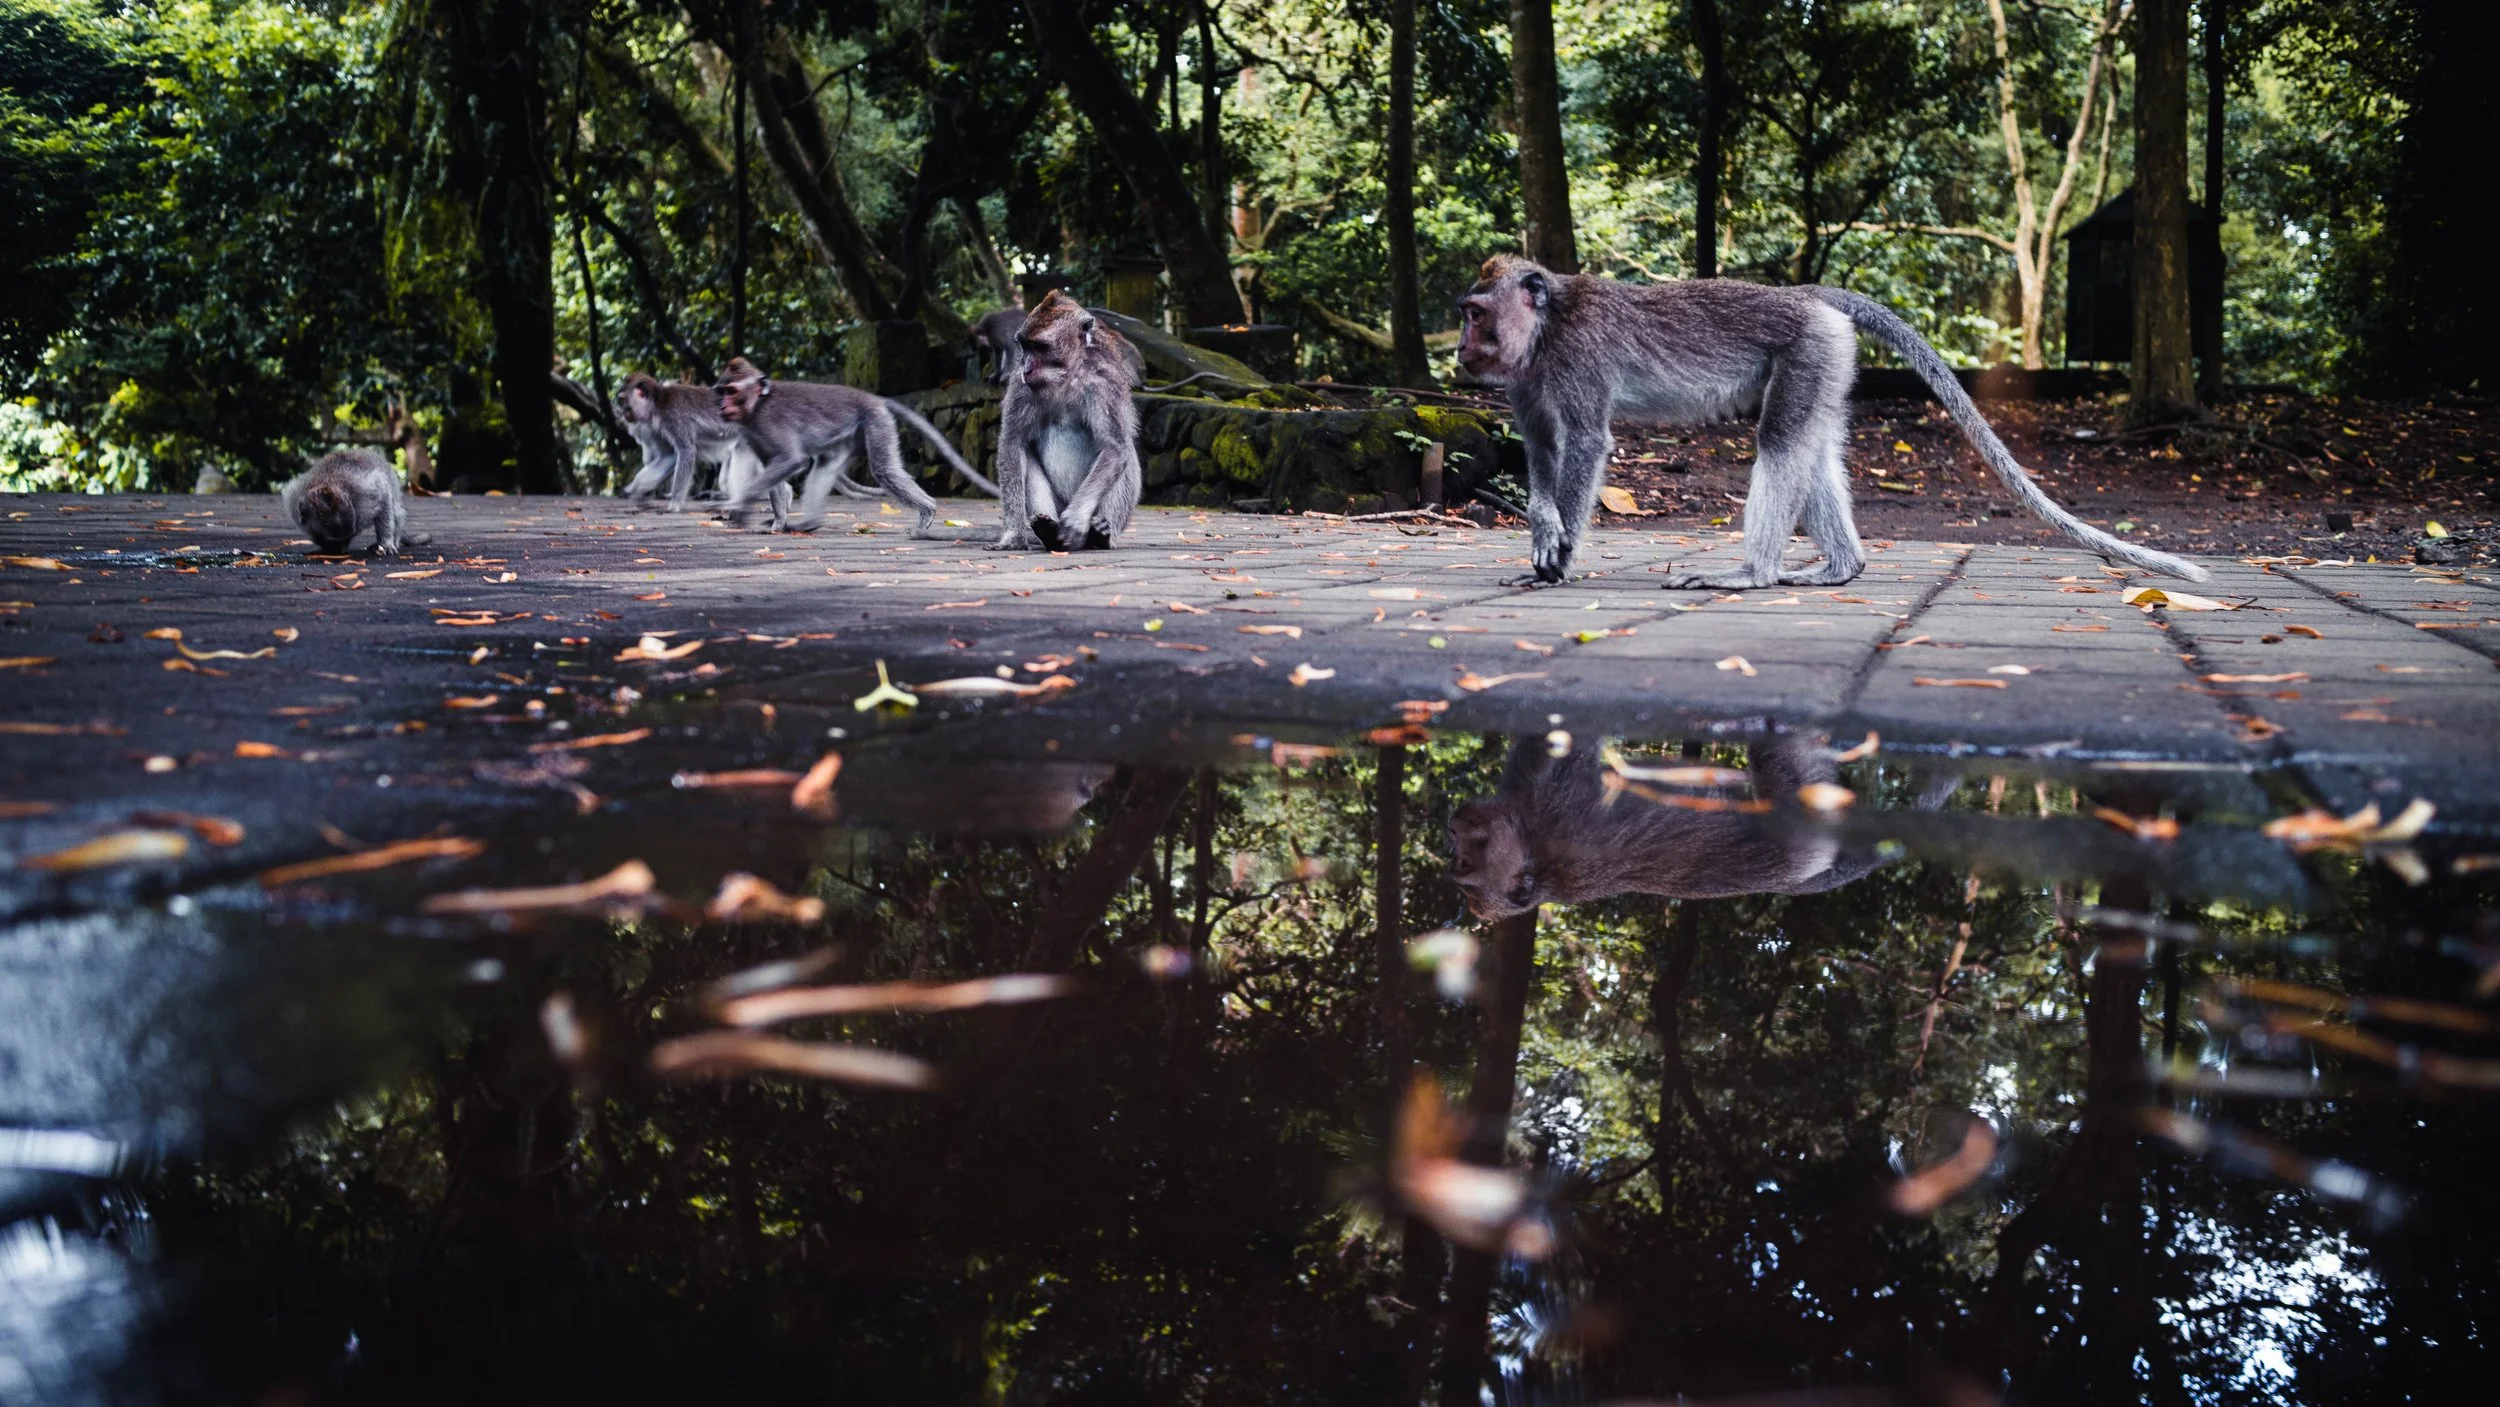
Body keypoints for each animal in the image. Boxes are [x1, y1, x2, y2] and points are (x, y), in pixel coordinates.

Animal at [281, 448, 429, 556]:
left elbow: (384, 498)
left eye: (348, 538)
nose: (338, 551)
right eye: (326, 540)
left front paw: (386, 543)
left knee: (395, 511)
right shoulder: (294, 496)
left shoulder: (366, 492)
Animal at [711, 357, 998, 535]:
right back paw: (809, 523)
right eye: (721, 391)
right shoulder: (753, 432)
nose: (722, 407)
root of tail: (874, 398)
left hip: (876, 422)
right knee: (825, 466)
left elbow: (792, 460)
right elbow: (777, 469)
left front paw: (740, 507)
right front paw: (778, 523)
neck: (757, 405)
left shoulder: (769, 422)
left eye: (732, 391)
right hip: (850, 435)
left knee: (884, 470)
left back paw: (928, 511)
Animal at [991, 291, 1144, 552]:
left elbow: (1114, 448)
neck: (1065, 376)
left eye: (1040, 347)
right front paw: (1013, 535)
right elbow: (1012, 443)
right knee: (1025, 455)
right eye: (1025, 346)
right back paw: (1048, 530)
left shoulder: (1104, 383)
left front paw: (1076, 517)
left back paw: (1101, 536)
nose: (1026, 367)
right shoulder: (1022, 386)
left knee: (1126, 454)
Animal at [1454, 255, 2210, 587]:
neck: (1546, 328)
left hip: (1811, 346)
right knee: (1808, 448)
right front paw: (1543, 528)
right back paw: (1843, 567)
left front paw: (1559, 557)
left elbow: (1584, 442)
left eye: (1475, 313)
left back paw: (1753, 574)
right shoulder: (1527, 379)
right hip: (1830, 356)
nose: (1460, 349)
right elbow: (1541, 446)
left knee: (1780, 442)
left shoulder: (1578, 357)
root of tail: (1807, 295)